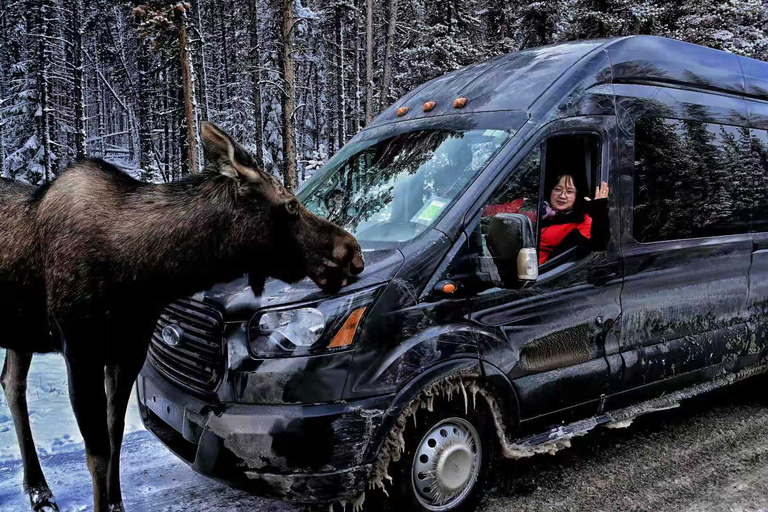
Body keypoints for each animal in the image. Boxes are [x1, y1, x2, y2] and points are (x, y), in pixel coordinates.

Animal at [0, 122, 364, 510]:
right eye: (291, 204)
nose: (352, 251)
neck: (146, 276)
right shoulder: (81, 353)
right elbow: (97, 453)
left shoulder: (128, 351)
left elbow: (115, 438)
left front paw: (117, 503)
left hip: (20, 334)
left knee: (11, 382)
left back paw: (38, 488)